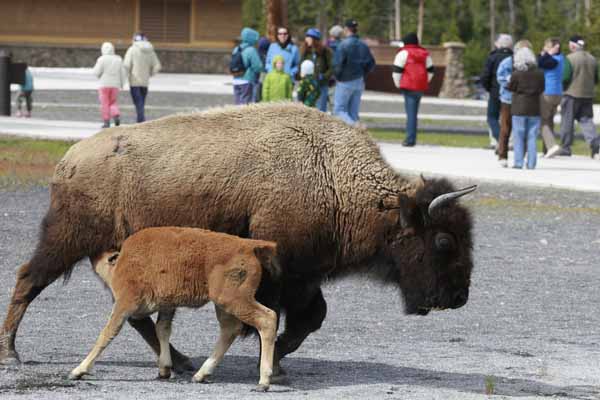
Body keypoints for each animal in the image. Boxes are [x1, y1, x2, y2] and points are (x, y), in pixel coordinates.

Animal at [68, 228, 282, 390]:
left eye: (105, 258)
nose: (92, 253)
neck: (122, 262)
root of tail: (248, 246)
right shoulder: (167, 306)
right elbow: (162, 330)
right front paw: (164, 369)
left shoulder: (124, 304)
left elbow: (107, 334)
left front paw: (78, 371)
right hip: (222, 305)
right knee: (229, 330)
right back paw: (201, 375)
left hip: (233, 300)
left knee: (267, 319)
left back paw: (263, 382)